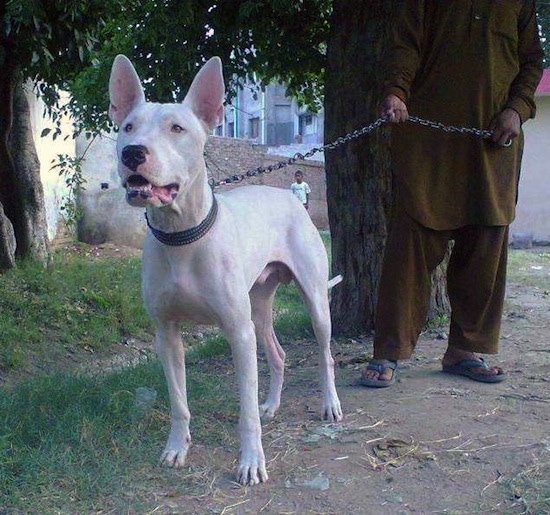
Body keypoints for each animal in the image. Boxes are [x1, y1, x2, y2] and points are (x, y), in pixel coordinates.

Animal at [109, 54, 344, 486]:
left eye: (177, 128)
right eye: (128, 126)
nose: (132, 153)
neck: (181, 237)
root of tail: (287, 196)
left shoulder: (238, 333)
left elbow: (245, 411)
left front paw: (251, 462)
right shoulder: (166, 335)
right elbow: (179, 402)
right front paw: (176, 448)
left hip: (315, 302)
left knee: (325, 355)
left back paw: (329, 404)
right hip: (259, 308)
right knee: (278, 355)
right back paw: (272, 405)